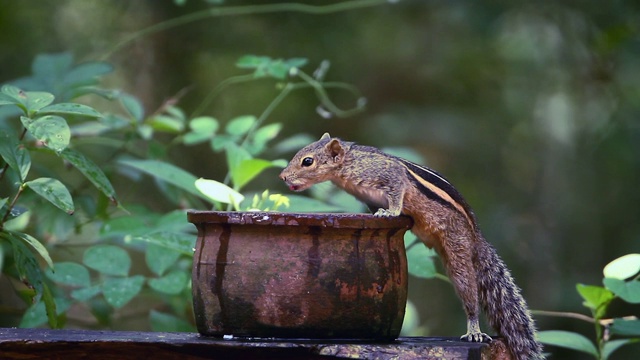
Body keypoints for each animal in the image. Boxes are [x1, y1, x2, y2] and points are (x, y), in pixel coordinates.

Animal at [278, 133, 544, 360]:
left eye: (307, 161)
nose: (282, 177)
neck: (349, 163)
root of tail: (476, 237)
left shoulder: (389, 176)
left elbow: (397, 194)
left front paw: (390, 212)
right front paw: (377, 213)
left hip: (457, 251)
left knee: (469, 294)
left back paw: (474, 330)